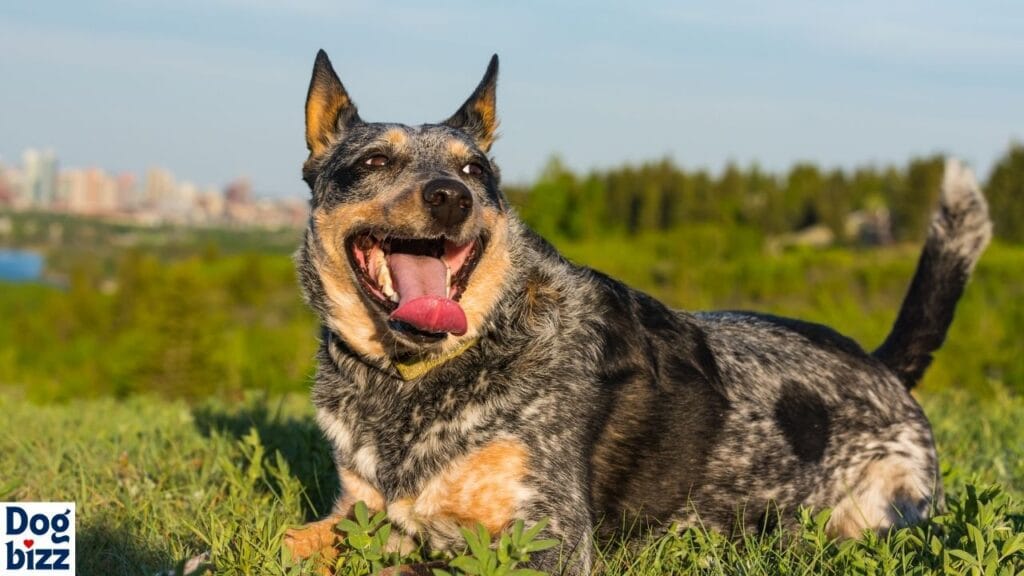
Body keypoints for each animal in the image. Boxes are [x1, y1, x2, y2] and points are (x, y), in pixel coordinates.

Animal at [284, 51, 987, 569]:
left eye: (475, 170)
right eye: (375, 160)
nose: (452, 196)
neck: (412, 381)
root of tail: (882, 366)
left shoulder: (549, 539)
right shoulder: (355, 509)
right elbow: (292, 542)